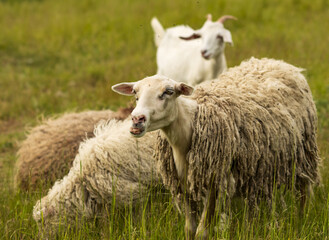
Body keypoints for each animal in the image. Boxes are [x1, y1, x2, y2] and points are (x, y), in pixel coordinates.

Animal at [112, 57, 320, 239]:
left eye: (168, 92)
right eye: (135, 94)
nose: (137, 119)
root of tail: (278, 62)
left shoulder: (214, 179)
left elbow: (202, 232)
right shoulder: (184, 183)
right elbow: (190, 229)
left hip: (304, 151)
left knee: (303, 191)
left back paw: (301, 220)